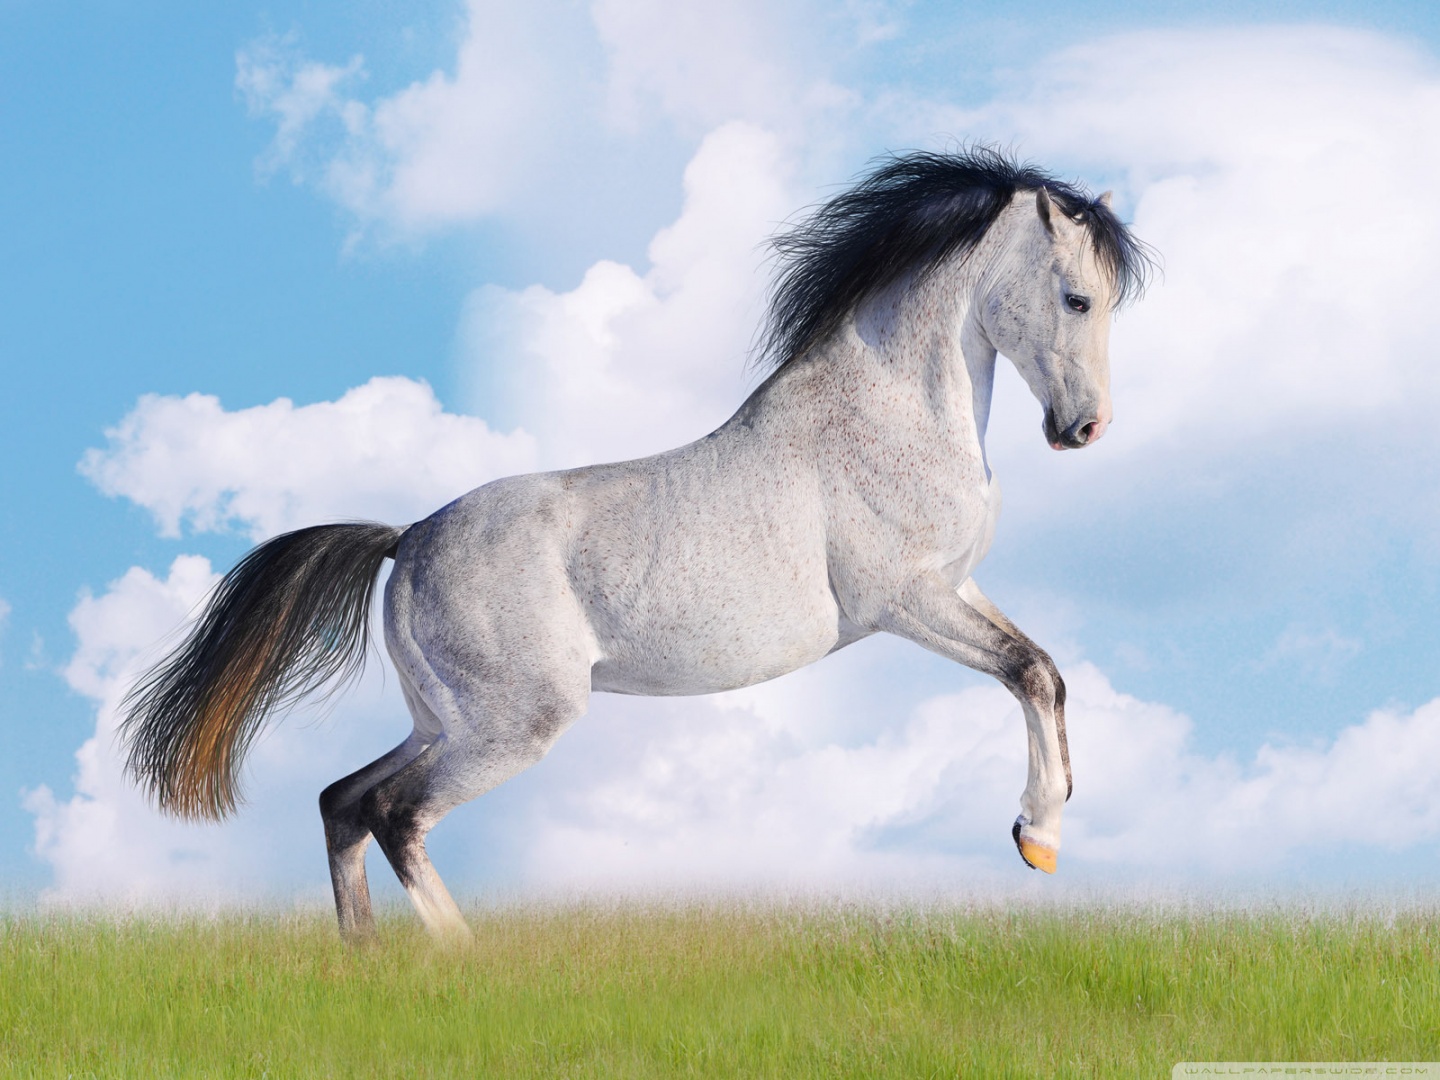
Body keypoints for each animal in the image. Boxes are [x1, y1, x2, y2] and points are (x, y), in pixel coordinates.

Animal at [121, 147, 1153, 940]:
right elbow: (1026, 671)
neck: (889, 412)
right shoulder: (904, 601)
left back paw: (365, 961)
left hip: (446, 718)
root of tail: (406, 539)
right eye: (1076, 299)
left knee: (343, 800)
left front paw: (1043, 835)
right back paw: (461, 963)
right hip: (514, 724)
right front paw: (1037, 835)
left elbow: (1046, 671)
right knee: (393, 813)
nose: (1084, 429)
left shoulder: (955, 589)